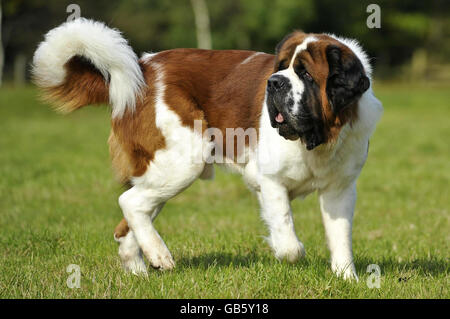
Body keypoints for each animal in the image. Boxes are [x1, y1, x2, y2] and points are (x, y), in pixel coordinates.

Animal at [33, 18, 382, 282]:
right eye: (282, 67)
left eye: (306, 74)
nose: (273, 82)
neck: (319, 138)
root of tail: (141, 70)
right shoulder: (269, 180)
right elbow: (289, 241)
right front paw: (286, 249)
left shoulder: (340, 190)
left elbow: (340, 236)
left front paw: (347, 279)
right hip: (183, 161)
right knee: (129, 202)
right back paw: (159, 254)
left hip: (160, 174)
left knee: (130, 218)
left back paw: (141, 268)